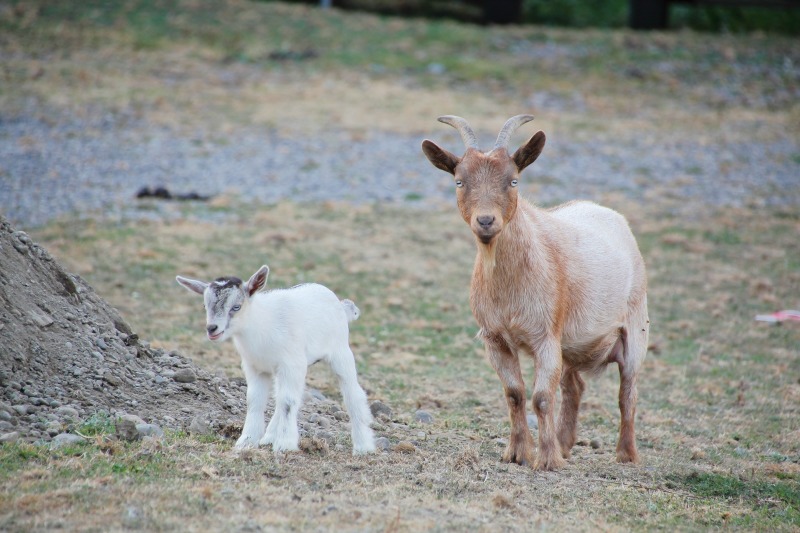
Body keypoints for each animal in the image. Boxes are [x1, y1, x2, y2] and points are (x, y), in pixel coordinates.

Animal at [175, 264, 376, 454]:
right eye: (205, 306)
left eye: (236, 307)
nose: (212, 329)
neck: (261, 324)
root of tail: (342, 305)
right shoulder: (255, 367)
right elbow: (255, 400)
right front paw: (246, 441)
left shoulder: (292, 364)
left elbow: (288, 401)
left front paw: (285, 445)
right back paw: (269, 436)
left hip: (340, 352)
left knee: (352, 393)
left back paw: (363, 446)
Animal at [422, 114, 648, 468]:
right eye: (459, 181)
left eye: (513, 180)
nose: (485, 221)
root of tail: (608, 213)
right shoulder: (495, 338)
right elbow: (515, 394)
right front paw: (517, 453)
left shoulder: (545, 334)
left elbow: (542, 398)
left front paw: (547, 461)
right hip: (571, 343)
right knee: (574, 385)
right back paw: (566, 444)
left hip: (636, 324)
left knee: (628, 391)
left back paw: (626, 454)